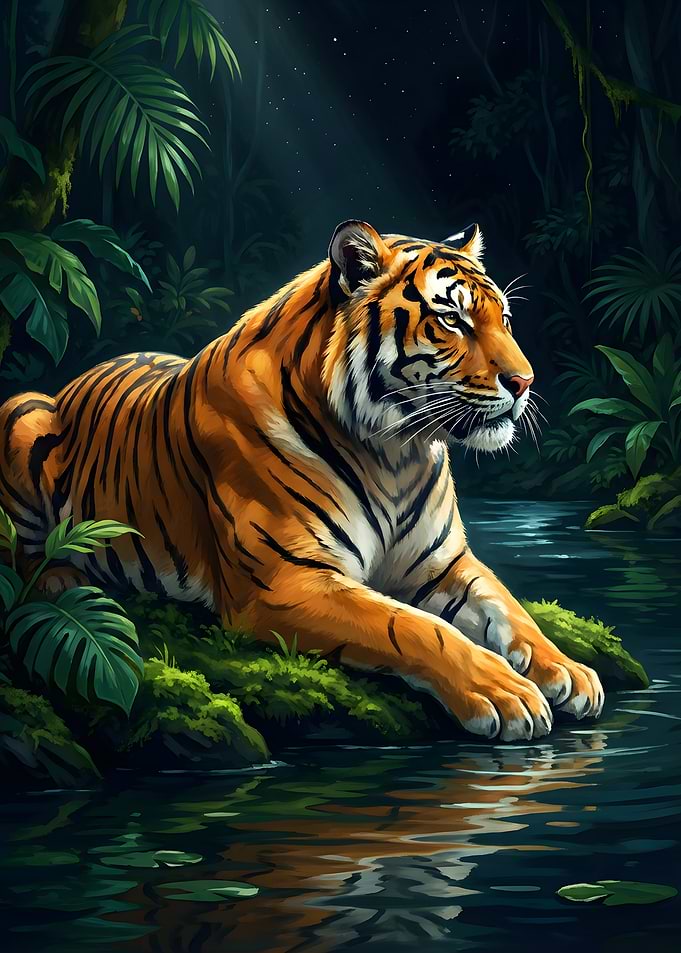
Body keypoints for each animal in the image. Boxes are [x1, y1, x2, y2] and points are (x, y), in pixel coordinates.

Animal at [0, 220, 604, 741]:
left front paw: (568, 670)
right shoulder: (288, 581)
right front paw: (504, 692)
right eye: (452, 319)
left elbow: (509, 607)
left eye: (504, 318)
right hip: (21, 410)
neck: (395, 453)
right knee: (25, 555)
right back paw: (60, 581)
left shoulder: (442, 564)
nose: (525, 380)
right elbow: (412, 627)